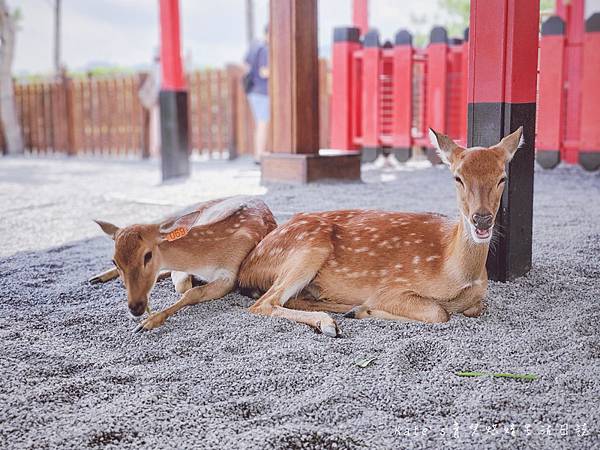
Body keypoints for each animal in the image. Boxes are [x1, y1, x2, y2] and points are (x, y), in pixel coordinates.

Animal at [95, 196, 278, 330]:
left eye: (147, 255)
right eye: (114, 260)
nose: (135, 307)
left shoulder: (231, 275)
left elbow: (191, 292)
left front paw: (148, 322)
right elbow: (183, 284)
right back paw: (96, 277)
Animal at [239, 126, 524, 338]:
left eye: (502, 178)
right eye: (457, 178)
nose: (482, 219)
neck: (455, 270)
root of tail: (247, 267)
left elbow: (477, 307)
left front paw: (360, 310)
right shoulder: (393, 287)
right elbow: (438, 313)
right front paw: (366, 310)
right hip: (309, 246)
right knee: (264, 303)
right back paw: (331, 322)